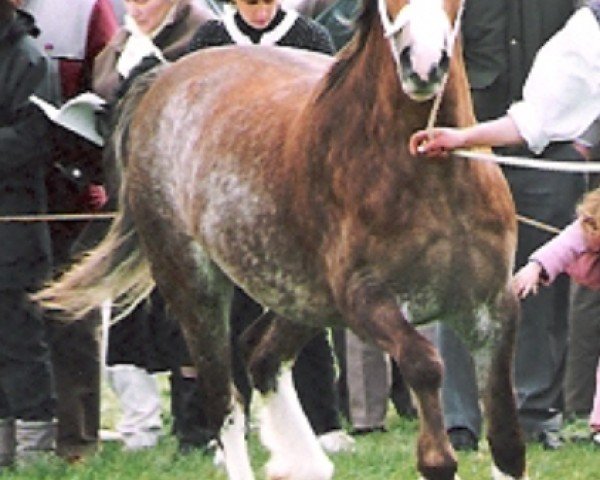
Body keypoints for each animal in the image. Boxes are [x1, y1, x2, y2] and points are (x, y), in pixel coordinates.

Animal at [36, 0, 524, 478]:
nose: (422, 65)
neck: (431, 178)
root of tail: (162, 80)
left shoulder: (492, 308)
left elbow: (507, 444)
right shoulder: (366, 302)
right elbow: (425, 370)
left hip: (301, 297)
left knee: (260, 354)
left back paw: (305, 460)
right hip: (193, 283)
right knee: (225, 401)